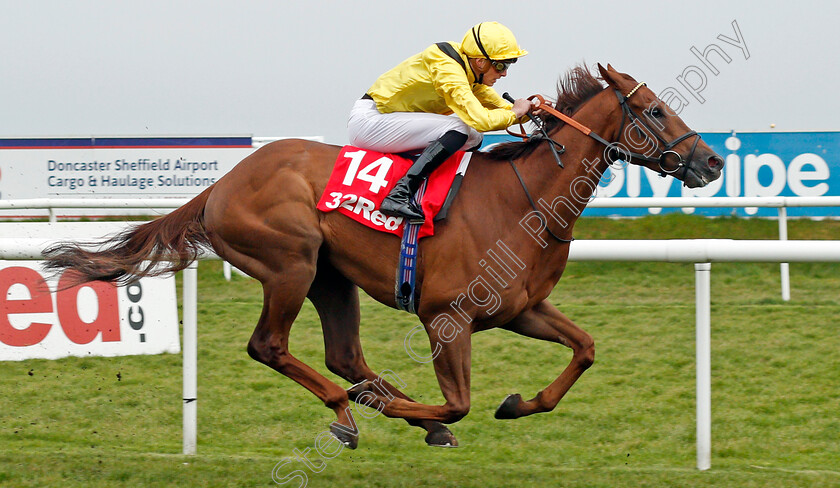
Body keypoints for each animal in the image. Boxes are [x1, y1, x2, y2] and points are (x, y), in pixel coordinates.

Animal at [41, 65, 720, 450]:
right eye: (655, 110)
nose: (712, 161)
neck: (521, 200)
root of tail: (222, 183)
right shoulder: (446, 316)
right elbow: (458, 399)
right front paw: (407, 409)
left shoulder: (521, 309)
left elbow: (584, 349)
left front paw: (516, 404)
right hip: (290, 264)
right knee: (271, 346)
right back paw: (350, 412)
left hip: (330, 278)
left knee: (344, 355)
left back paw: (387, 411)